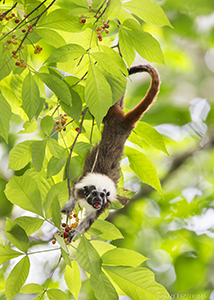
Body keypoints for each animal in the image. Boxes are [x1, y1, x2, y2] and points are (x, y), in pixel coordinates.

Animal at [61, 63, 160, 241]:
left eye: (103, 196)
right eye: (95, 194)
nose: (98, 201)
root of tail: (124, 123)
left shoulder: (102, 206)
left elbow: (89, 222)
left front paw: (75, 233)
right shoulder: (81, 185)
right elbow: (73, 188)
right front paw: (70, 205)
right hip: (111, 113)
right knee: (111, 107)